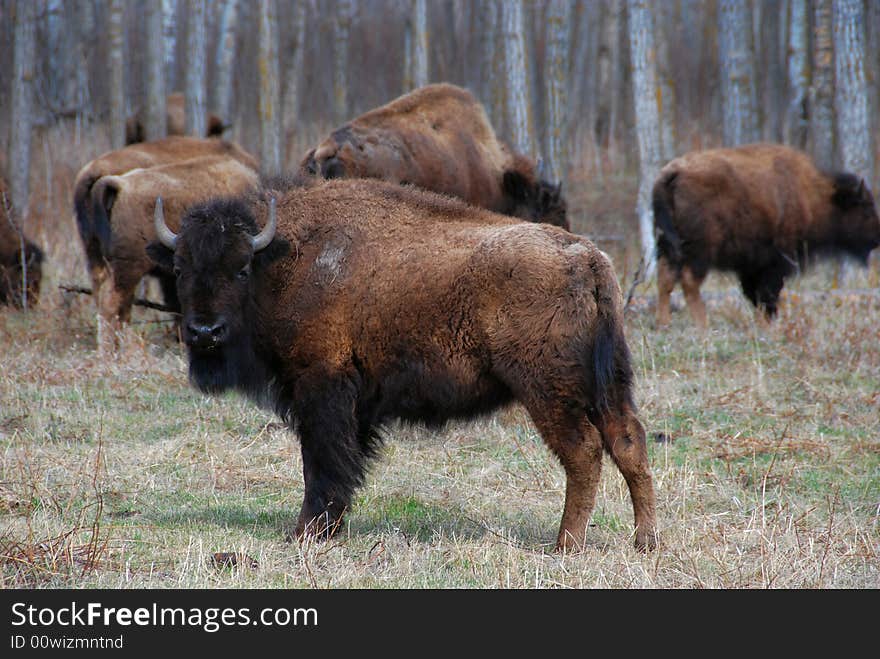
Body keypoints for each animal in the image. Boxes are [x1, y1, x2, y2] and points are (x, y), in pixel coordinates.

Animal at [146, 178, 652, 556]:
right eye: (179, 268)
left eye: (241, 269)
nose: (205, 332)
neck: (285, 258)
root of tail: (586, 257)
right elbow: (343, 463)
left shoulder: (321, 387)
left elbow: (323, 462)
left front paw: (307, 532)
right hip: (608, 385)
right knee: (628, 443)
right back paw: (645, 541)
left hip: (548, 391)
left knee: (583, 452)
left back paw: (566, 544)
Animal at [652, 146, 880, 328]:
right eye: (866, 209)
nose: (876, 237)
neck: (812, 196)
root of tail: (672, 173)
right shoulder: (776, 262)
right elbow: (767, 294)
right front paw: (769, 325)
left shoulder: (751, 266)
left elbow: (754, 295)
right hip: (701, 251)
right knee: (688, 281)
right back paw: (702, 326)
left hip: (667, 245)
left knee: (665, 279)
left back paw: (664, 324)